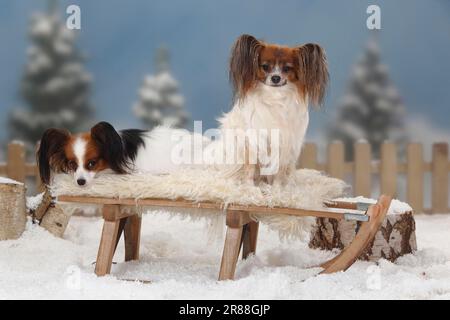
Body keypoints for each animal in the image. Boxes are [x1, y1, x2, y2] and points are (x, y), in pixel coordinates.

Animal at [213, 33, 328, 184]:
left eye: (287, 69)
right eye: (265, 67)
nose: (275, 78)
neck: (274, 97)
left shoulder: (284, 144)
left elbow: (280, 171)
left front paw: (277, 188)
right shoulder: (253, 141)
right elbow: (250, 168)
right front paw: (249, 187)